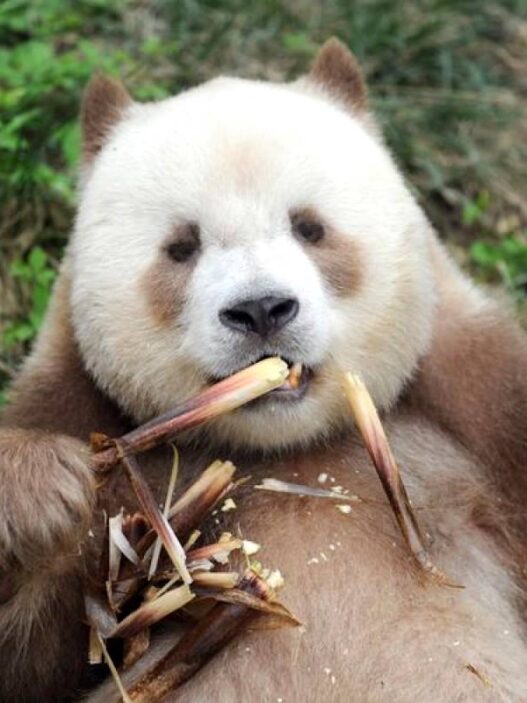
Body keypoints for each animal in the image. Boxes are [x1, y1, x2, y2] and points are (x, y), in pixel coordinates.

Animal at [1, 38, 527, 703]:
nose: (260, 310)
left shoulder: (480, 403)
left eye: (310, 227)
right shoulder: (81, 409)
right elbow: (42, 654)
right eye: (182, 247)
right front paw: (42, 489)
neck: (286, 449)